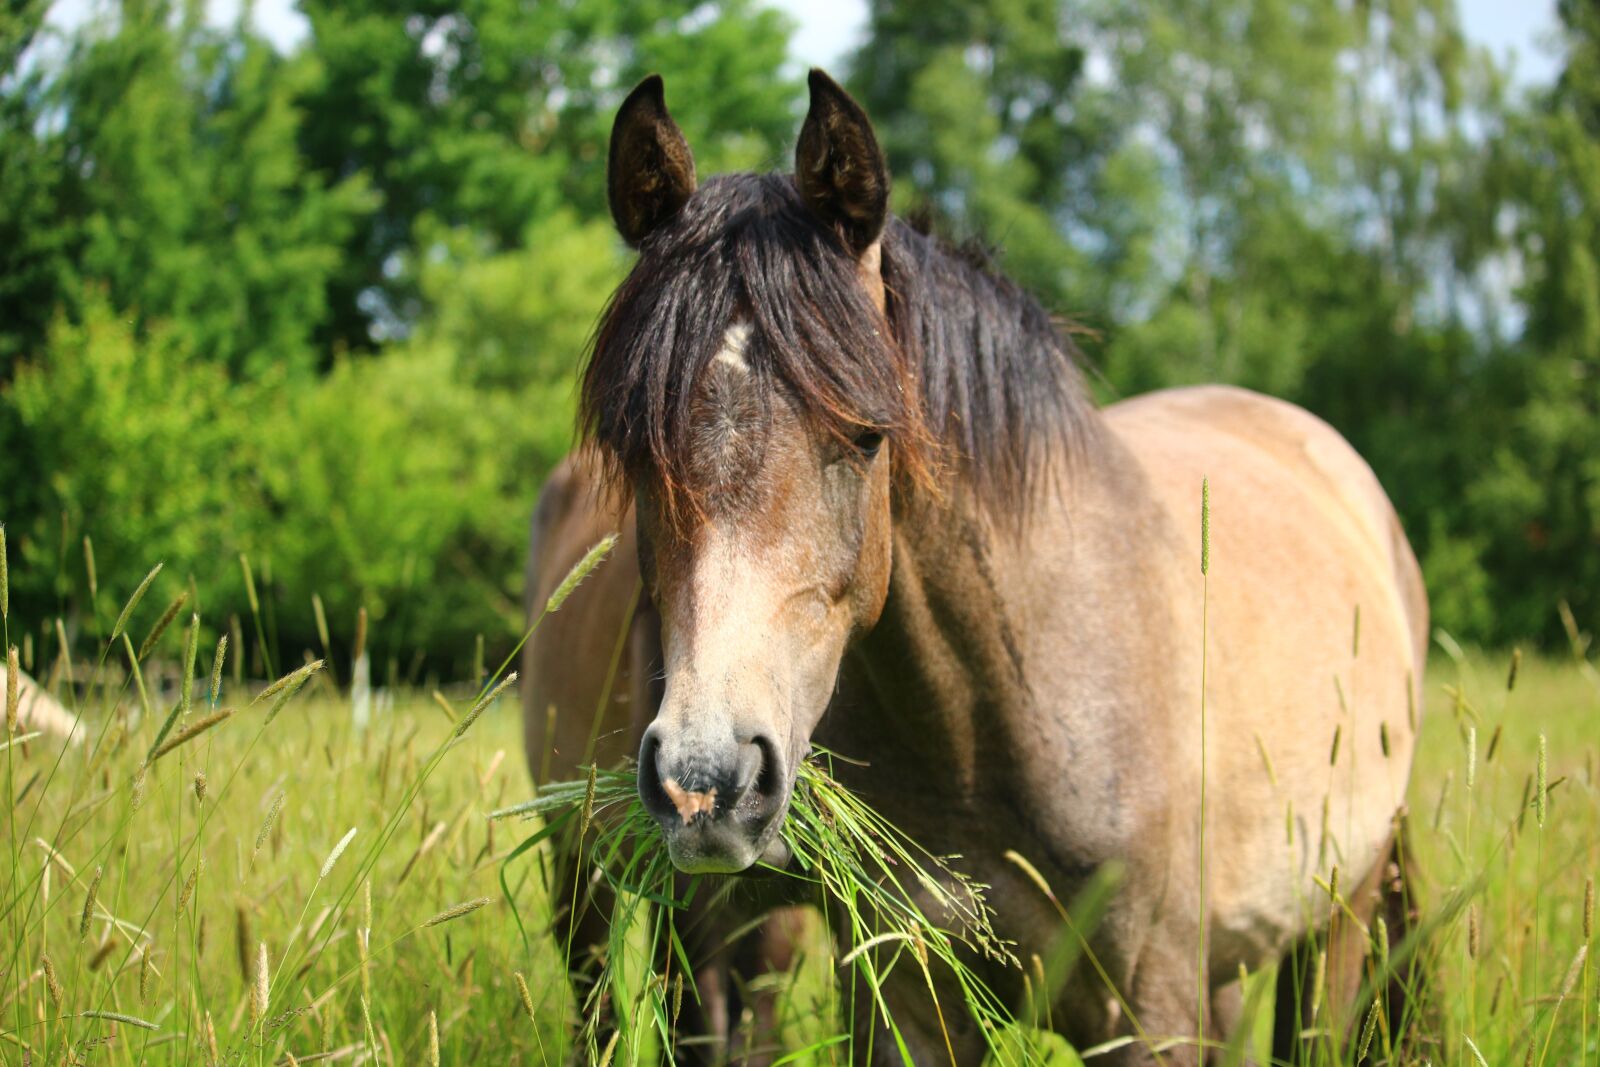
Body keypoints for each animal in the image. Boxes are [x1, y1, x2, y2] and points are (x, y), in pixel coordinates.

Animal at [531, 68, 1428, 1065]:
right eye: (630, 447)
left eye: (866, 435)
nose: (706, 780)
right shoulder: (903, 994)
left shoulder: (1152, 1002)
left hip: (1338, 922)